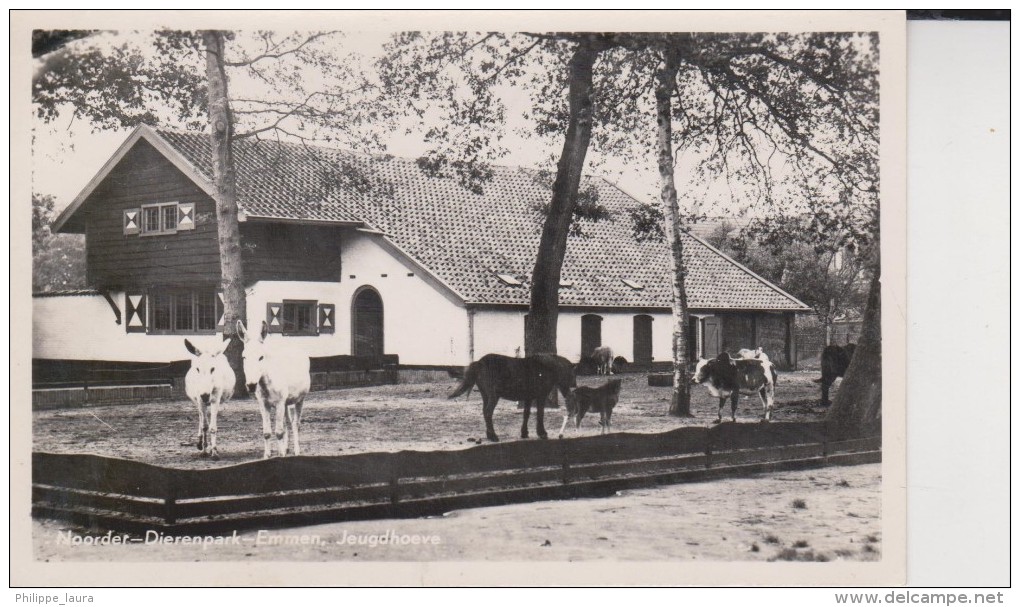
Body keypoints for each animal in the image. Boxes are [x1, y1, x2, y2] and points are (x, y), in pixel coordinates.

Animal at [237, 320, 310, 459]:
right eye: (244, 357)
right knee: (287, 423)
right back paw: (286, 448)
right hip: (286, 403)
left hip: (300, 400)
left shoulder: (280, 403)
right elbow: (267, 432)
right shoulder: (263, 404)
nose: (251, 385)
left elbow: (279, 432)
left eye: (261, 357)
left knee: (295, 424)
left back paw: (296, 450)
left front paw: (281, 455)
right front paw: (267, 455)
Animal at [450, 350, 579, 442]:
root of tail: (479, 363)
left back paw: (489, 435)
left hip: (485, 396)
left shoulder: (528, 398)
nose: (573, 386)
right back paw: (493, 436)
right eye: (571, 374)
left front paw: (524, 433)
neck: (545, 367)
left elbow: (526, 414)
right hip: (493, 396)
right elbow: (540, 414)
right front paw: (542, 433)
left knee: (485, 412)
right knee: (488, 412)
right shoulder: (541, 396)